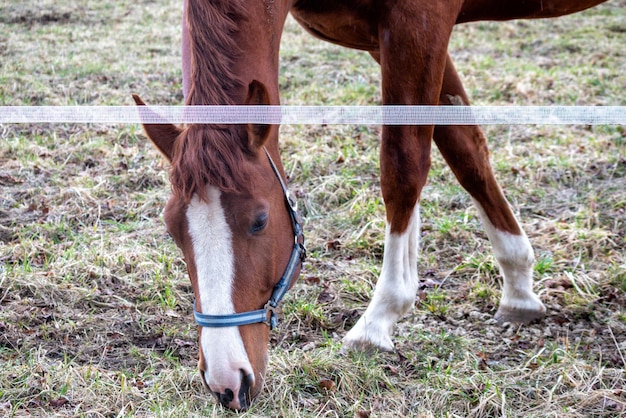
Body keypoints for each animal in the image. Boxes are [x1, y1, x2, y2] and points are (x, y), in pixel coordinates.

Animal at [132, 0, 604, 408]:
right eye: (172, 230)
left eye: (260, 221)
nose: (228, 381)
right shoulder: (389, 40)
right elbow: (466, 151)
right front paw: (519, 286)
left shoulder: (419, 25)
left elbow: (404, 167)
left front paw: (380, 317)